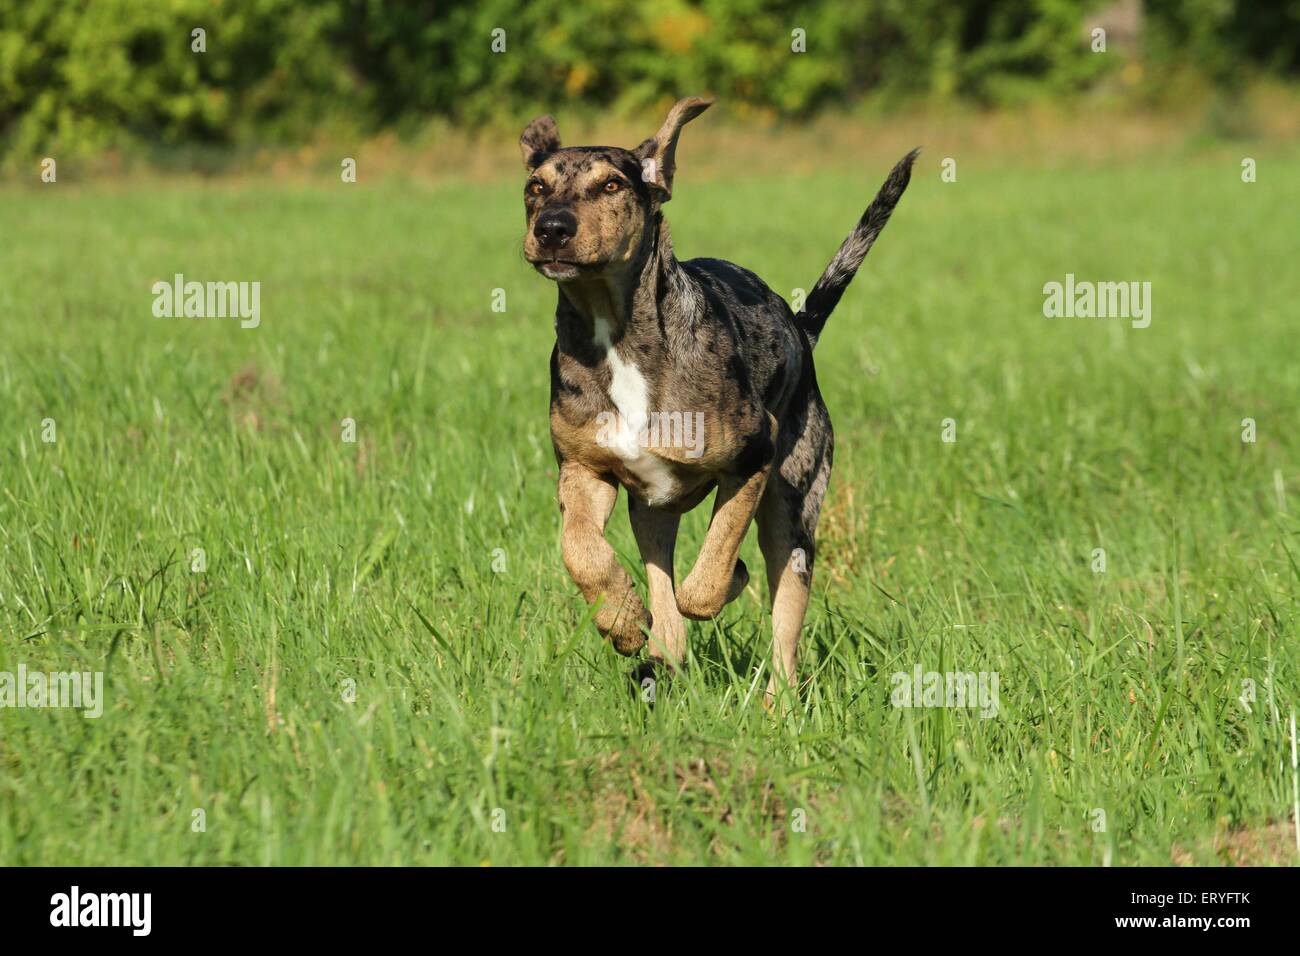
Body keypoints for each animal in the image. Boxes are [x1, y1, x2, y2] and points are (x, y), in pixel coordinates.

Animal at [517, 97, 915, 702]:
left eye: (611, 184)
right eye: (535, 187)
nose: (552, 228)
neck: (616, 335)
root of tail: (801, 331)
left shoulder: (753, 457)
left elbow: (712, 567)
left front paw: (721, 583)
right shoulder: (584, 469)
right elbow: (580, 549)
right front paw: (621, 620)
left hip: (793, 508)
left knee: (780, 622)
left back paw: (774, 701)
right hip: (650, 511)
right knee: (664, 595)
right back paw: (656, 651)